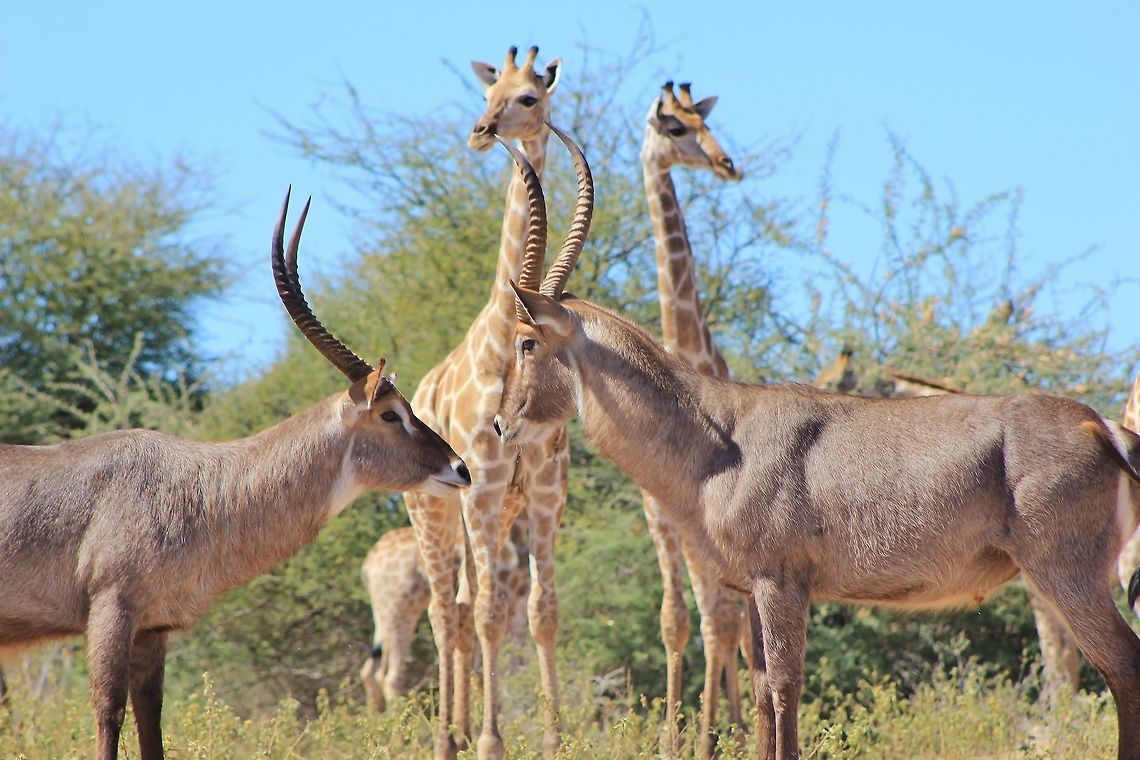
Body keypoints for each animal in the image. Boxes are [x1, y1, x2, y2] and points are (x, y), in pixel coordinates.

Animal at [359, 520, 531, 713]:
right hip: (399, 610)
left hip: (383, 614)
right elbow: (483, 670)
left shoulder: (518, 607)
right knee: (390, 677)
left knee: (370, 671)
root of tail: (368, 565)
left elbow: (513, 669)